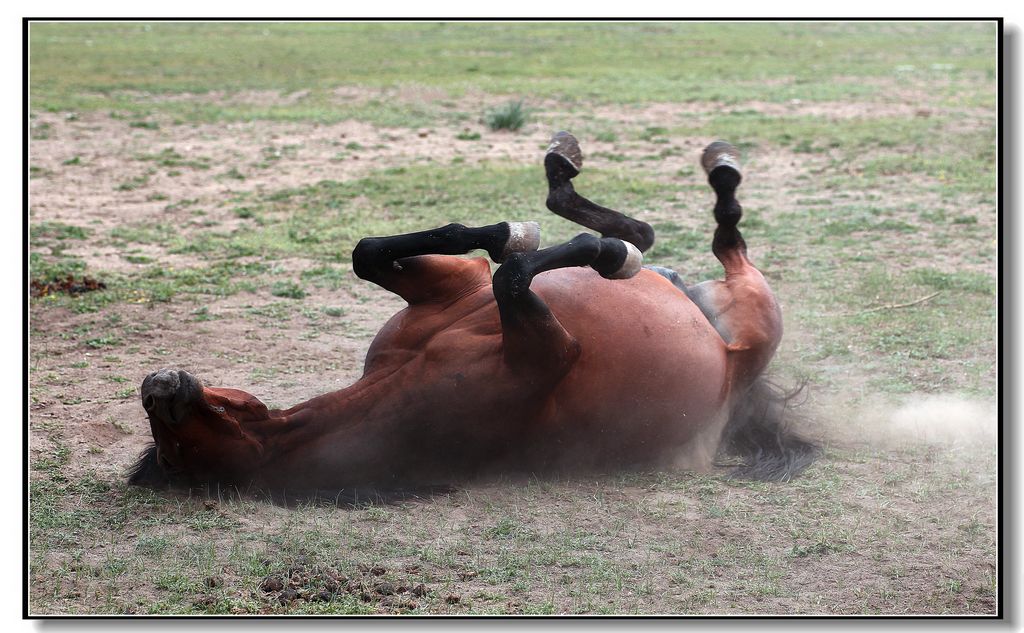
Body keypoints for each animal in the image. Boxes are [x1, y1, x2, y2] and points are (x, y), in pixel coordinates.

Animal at [128, 133, 815, 497]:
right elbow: (512, 275)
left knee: (672, 233)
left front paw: (515, 233)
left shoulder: (453, 285)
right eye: (171, 452)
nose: (155, 386)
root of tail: (741, 385)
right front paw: (597, 254)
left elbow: (377, 251)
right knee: (716, 240)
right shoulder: (550, 352)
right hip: (757, 313)